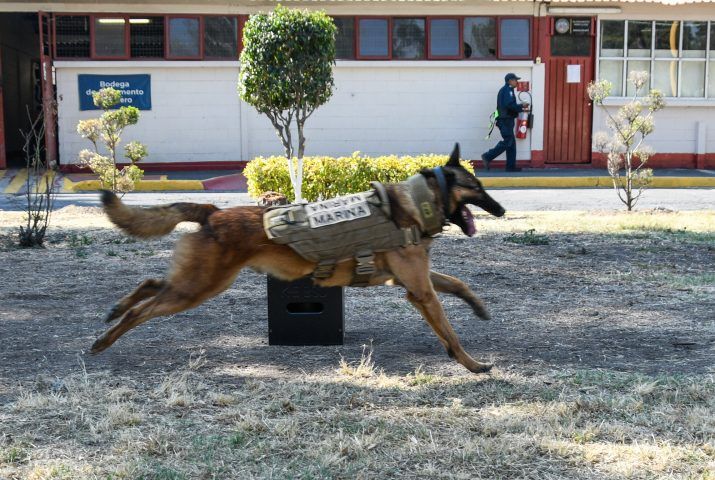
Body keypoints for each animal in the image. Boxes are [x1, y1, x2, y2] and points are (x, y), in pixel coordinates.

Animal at [91, 144, 506, 373]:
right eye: (476, 187)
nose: (501, 209)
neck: (415, 204)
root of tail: (213, 212)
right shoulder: (420, 291)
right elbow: (450, 332)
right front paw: (471, 364)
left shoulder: (415, 282)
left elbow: (457, 284)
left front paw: (479, 307)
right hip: (199, 288)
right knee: (143, 309)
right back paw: (105, 339)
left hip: (199, 281)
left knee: (151, 283)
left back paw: (115, 309)